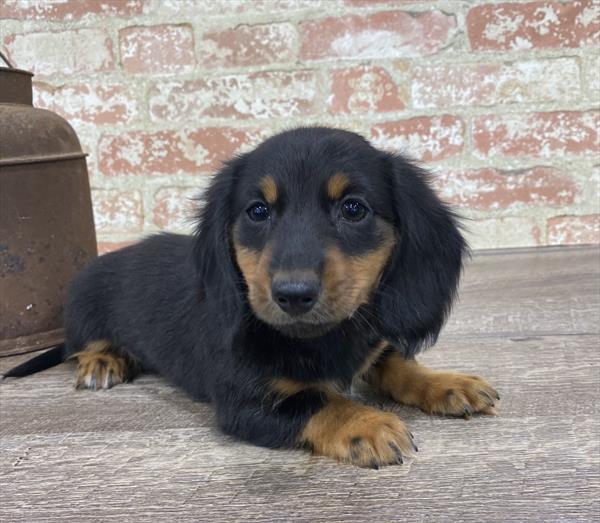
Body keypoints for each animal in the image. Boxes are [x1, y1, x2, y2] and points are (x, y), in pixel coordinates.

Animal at [7, 128, 500, 470]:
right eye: (257, 211)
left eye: (353, 208)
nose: (293, 295)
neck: (317, 338)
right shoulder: (244, 401)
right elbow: (318, 400)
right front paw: (367, 422)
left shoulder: (372, 342)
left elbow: (397, 363)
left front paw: (447, 382)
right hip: (83, 305)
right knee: (83, 345)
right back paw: (103, 361)